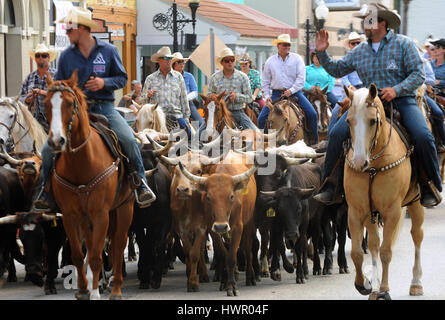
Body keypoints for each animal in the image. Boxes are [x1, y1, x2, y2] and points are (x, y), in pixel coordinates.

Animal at [45, 70, 136, 300]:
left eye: (70, 104)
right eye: (46, 103)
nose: (56, 141)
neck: (81, 163)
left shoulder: (100, 213)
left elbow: (96, 255)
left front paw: (95, 292)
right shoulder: (70, 215)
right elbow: (79, 255)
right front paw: (84, 289)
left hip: (125, 207)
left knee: (118, 243)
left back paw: (116, 289)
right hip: (89, 217)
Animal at [344, 84, 424, 298]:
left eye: (372, 121)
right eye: (348, 121)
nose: (358, 162)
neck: (373, 166)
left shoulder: (392, 211)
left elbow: (386, 251)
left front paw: (385, 290)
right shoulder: (357, 211)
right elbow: (357, 252)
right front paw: (364, 284)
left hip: (416, 203)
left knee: (417, 235)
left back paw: (416, 283)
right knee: (373, 243)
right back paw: (374, 287)